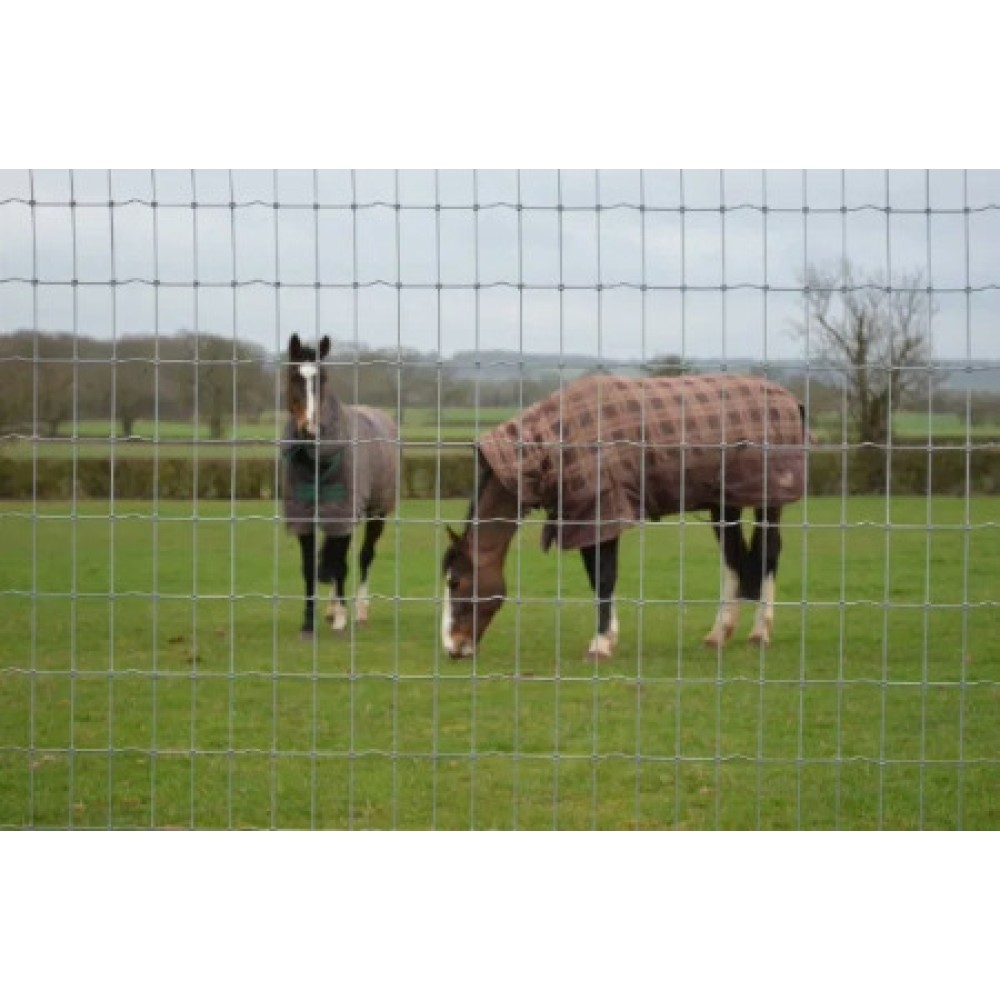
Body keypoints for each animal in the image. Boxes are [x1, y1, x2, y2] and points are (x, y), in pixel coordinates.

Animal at [282, 334, 399, 638]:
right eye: (293, 376)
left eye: (323, 378)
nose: (311, 431)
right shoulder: (305, 516)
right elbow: (310, 567)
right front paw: (309, 623)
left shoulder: (344, 512)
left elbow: (342, 564)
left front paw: (342, 620)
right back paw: (332, 608)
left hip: (376, 512)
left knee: (364, 556)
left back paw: (359, 611)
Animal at [441, 373, 809, 660]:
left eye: (456, 582)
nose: (453, 647)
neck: (558, 439)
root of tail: (792, 400)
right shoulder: (584, 521)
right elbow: (596, 578)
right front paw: (609, 635)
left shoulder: (603, 515)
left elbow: (604, 578)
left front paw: (601, 644)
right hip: (725, 505)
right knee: (733, 559)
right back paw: (719, 634)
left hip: (768, 500)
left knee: (769, 553)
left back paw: (760, 633)